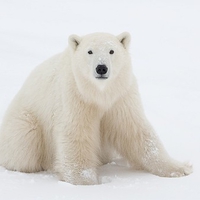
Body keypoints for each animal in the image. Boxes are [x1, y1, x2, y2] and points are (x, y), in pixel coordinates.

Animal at [0, 31, 192, 184]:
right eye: (89, 51)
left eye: (111, 51)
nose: (101, 68)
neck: (99, 93)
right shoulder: (75, 95)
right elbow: (76, 132)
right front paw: (85, 180)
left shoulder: (121, 96)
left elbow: (134, 131)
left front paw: (181, 168)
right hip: (25, 122)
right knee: (26, 145)